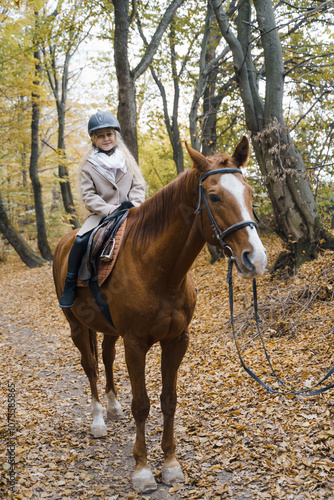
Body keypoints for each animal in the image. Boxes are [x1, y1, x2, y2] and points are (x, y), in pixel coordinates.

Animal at [53, 137, 268, 492]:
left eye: (249, 193)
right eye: (214, 196)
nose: (256, 258)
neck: (156, 268)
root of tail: (65, 242)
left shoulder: (177, 341)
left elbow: (169, 400)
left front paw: (169, 464)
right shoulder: (136, 343)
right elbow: (142, 405)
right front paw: (142, 471)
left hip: (108, 330)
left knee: (107, 358)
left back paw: (112, 407)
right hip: (77, 327)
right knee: (91, 367)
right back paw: (98, 420)